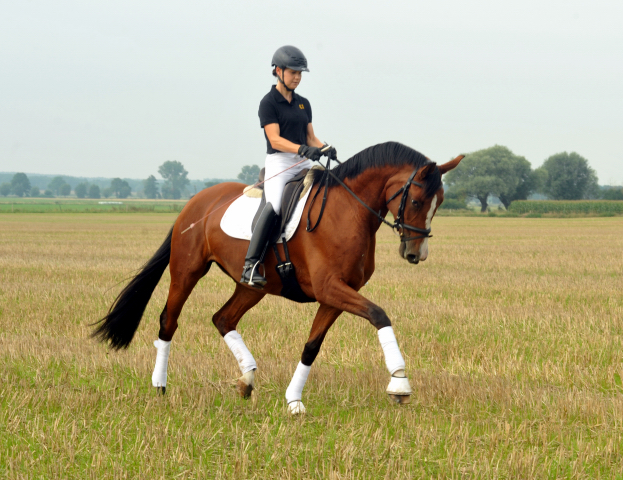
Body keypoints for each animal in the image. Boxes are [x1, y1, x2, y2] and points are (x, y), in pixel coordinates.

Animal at [94, 142, 464, 412]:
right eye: (415, 200)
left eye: (440, 201)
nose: (416, 254)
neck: (348, 212)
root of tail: (196, 201)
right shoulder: (331, 288)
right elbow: (379, 315)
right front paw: (400, 382)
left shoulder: (337, 295)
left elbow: (311, 346)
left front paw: (294, 400)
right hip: (187, 272)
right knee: (169, 321)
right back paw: (160, 385)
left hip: (252, 287)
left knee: (223, 318)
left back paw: (246, 380)